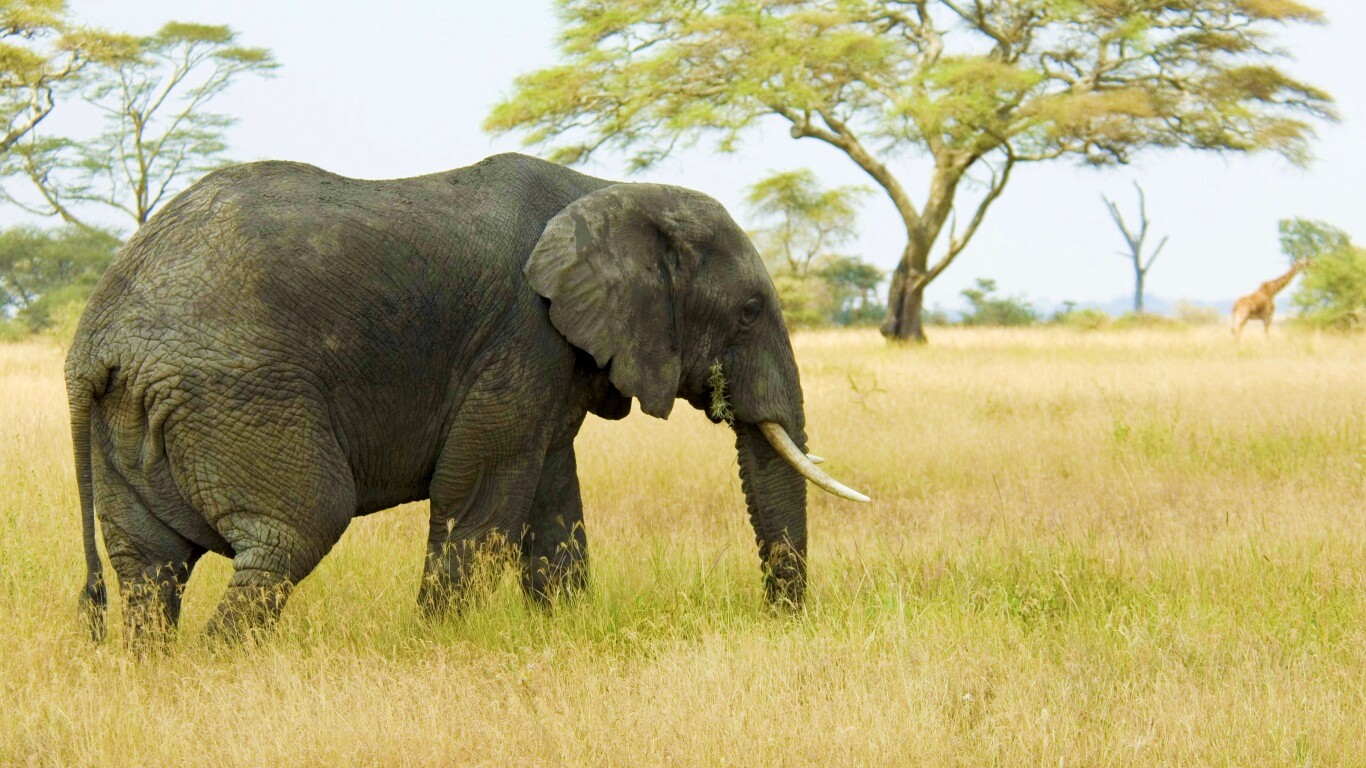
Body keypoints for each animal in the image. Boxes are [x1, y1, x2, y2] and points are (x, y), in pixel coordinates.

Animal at [65, 152, 867, 643]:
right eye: (749, 312)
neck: (608, 190)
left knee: (150, 567)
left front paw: (562, 633)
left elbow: (550, 496)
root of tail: (95, 339)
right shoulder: (522, 335)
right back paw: (224, 667)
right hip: (238, 392)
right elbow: (480, 492)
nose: (781, 621)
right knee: (295, 529)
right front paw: (439, 643)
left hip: (135, 414)